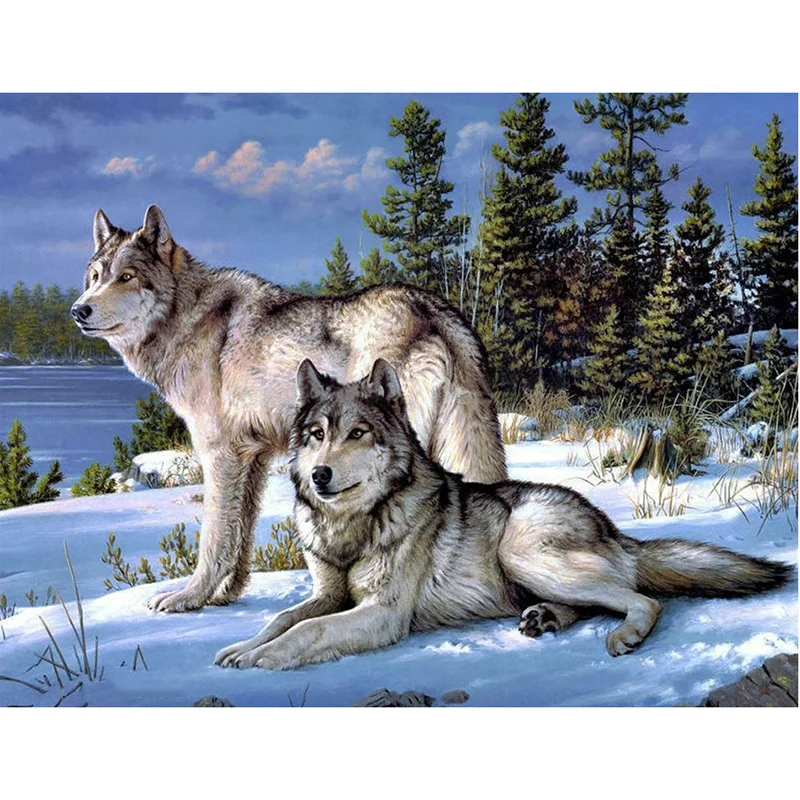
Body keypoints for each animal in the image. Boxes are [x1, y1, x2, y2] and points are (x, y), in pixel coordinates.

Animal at [71, 205, 506, 613]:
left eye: (126, 277)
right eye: (94, 277)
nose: (79, 310)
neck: (186, 317)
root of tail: (435, 310)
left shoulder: (219, 455)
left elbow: (213, 538)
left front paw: (189, 597)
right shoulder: (253, 458)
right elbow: (240, 536)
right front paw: (225, 595)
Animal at [214, 358, 791, 669]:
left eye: (357, 433)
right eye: (316, 435)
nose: (320, 476)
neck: (353, 527)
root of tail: (611, 527)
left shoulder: (383, 613)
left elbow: (307, 632)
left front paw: (261, 658)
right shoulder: (328, 595)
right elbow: (282, 618)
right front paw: (240, 647)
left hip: (522, 552)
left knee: (643, 599)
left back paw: (621, 635)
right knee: (597, 601)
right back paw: (545, 618)